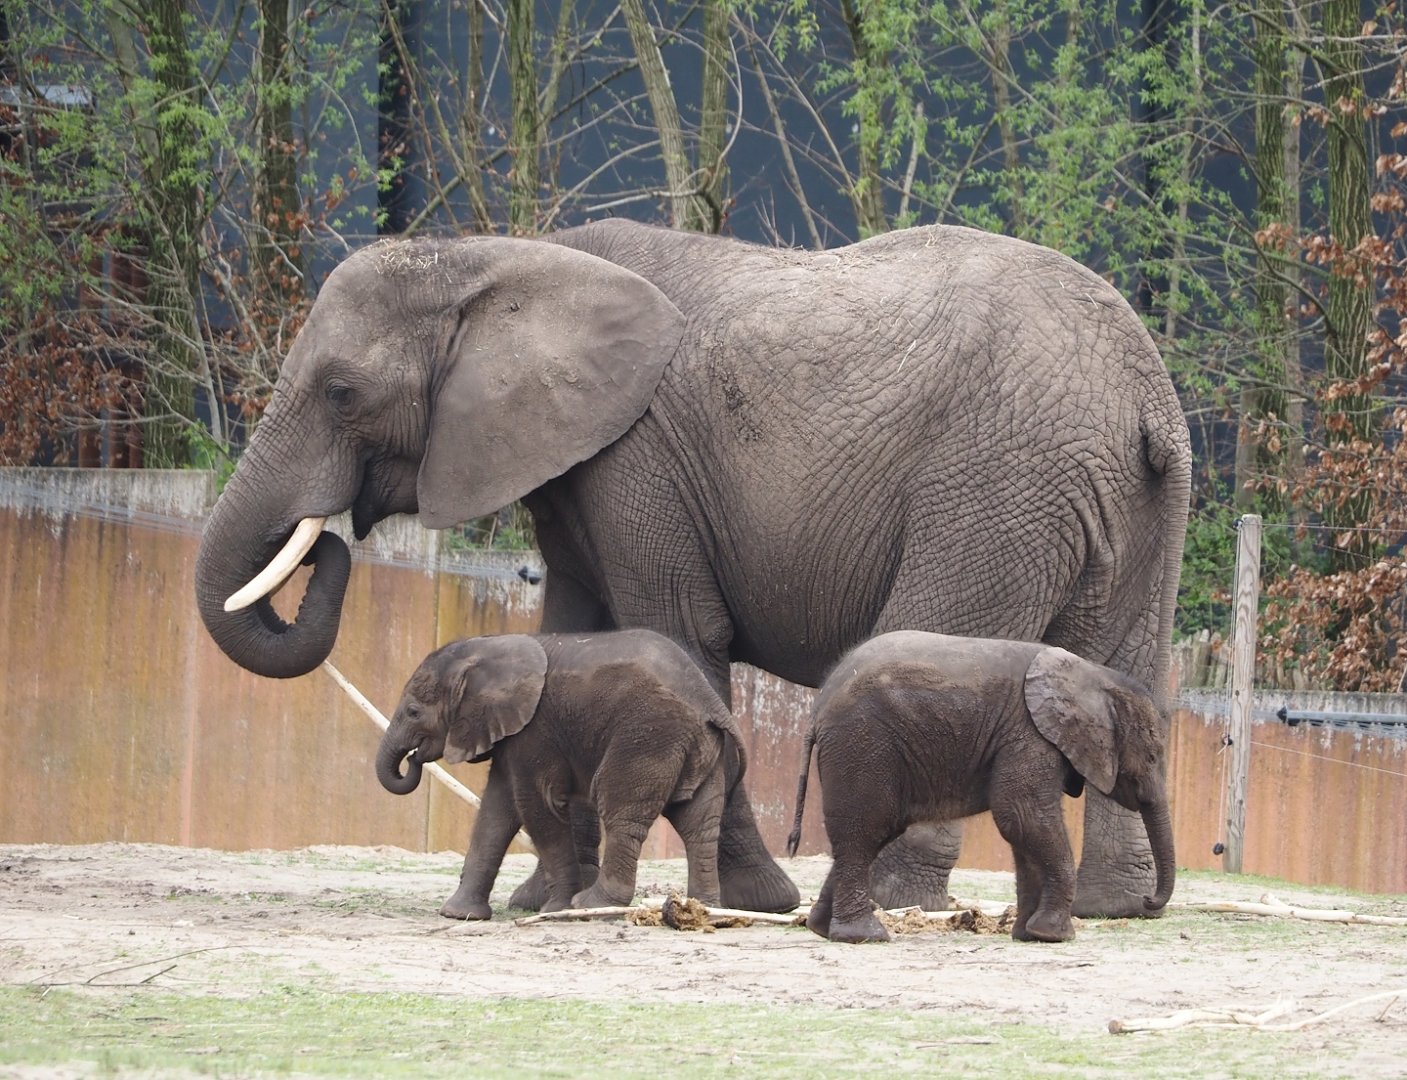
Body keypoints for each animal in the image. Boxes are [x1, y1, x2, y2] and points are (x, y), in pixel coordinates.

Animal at [377, 629, 746, 917]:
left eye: (413, 712)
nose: (414, 757)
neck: (488, 647)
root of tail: (709, 700)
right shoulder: (514, 734)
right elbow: (497, 811)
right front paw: (459, 914)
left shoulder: (535, 729)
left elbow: (537, 805)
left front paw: (557, 908)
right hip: (700, 748)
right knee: (699, 823)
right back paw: (704, 908)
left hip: (648, 735)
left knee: (621, 813)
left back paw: (592, 906)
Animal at [788, 632, 1176, 944]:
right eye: (1153, 756)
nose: (1148, 901)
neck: (1094, 675)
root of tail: (818, 707)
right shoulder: (1029, 735)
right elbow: (1022, 816)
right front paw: (1054, 935)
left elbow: (1023, 829)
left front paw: (1029, 935)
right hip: (863, 744)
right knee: (866, 829)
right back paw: (865, 936)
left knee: (873, 833)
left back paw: (822, 929)